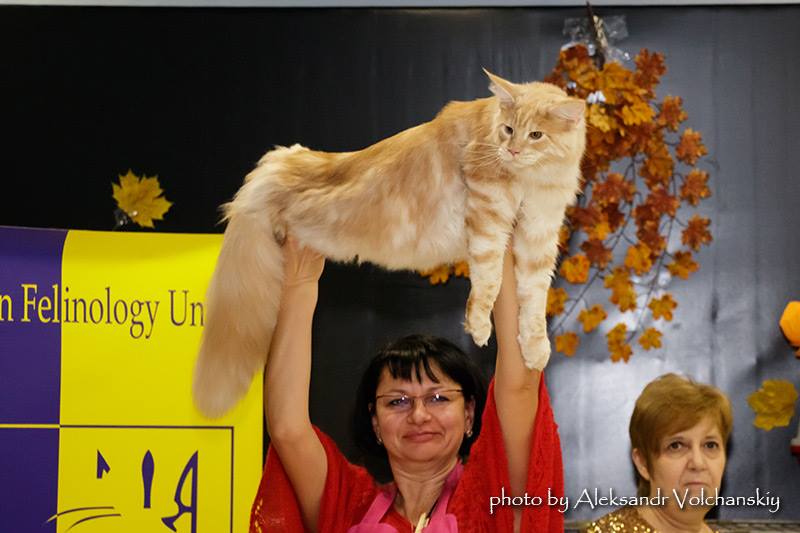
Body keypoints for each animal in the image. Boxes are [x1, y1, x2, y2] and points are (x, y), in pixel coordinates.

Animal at [191, 69, 584, 416]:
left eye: (536, 135)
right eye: (508, 130)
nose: (512, 151)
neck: (533, 179)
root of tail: (282, 162)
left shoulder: (539, 233)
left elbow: (534, 301)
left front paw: (535, 350)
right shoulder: (489, 211)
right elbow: (488, 278)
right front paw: (480, 325)